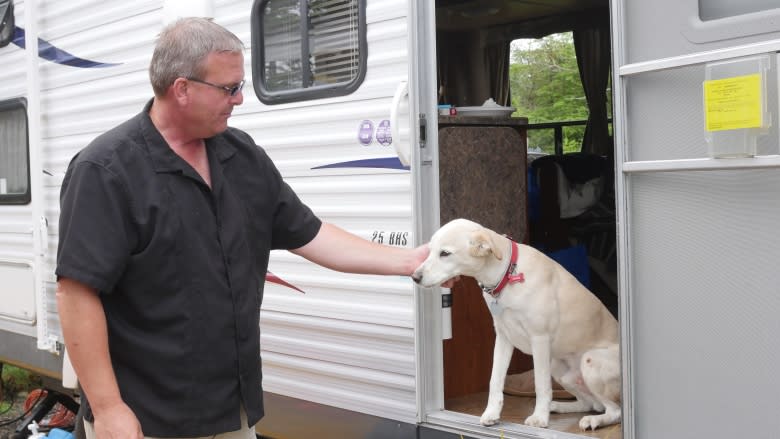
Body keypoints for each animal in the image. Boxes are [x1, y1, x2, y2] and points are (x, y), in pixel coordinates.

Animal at [408, 218, 620, 432]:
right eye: (430, 251)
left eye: (445, 253)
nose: (415, 277)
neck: (508, 274)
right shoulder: (503, 338)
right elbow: (495, 380)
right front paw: (491, 413)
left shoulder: (539, 338)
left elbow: (541, 385)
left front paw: (539, 418)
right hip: (558, 368)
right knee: (590, 404)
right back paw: (558, 406)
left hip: (589, 360)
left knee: (614, 411)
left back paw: (594, 420)